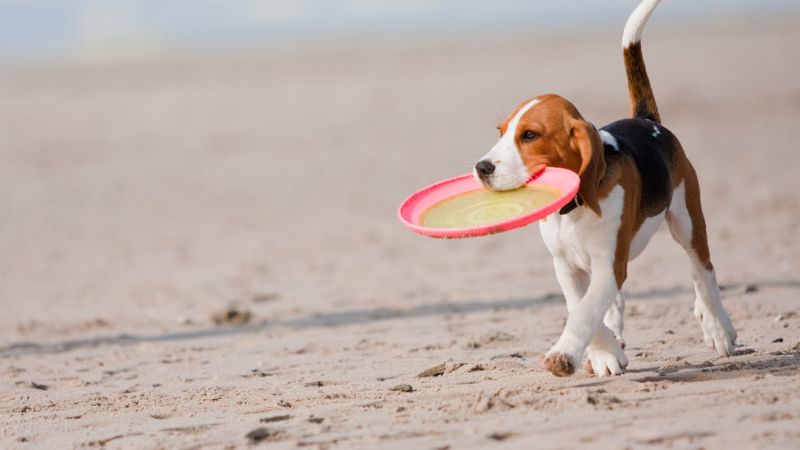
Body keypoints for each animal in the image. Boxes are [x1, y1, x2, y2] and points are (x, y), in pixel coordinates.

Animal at [472, 0, 740, 378]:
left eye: (530, 135)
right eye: (501, 131)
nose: (481, 168)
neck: (573, 209)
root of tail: (647, 121)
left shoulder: (611, 262)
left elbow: (585, 311)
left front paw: (564, 355)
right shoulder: (565, 265)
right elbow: (580, 306)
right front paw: (605, 352)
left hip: (687, 219)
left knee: (703, 271)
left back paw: (717, 327)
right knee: (618, 301)